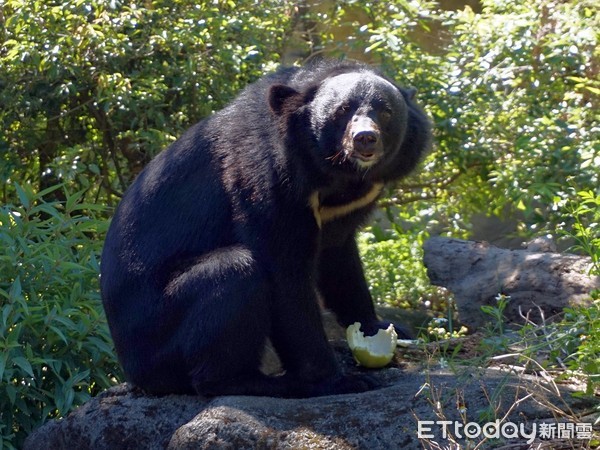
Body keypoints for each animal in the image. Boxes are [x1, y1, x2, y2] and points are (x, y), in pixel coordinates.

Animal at [102, 59, 432, 398]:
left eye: (385, 112)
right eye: (342, 111)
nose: (365, 138)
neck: (336, 175)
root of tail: (133, 371)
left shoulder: (347, 208)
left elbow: (340, 259)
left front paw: (378, 328)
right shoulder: (267, 179)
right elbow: (284, 271)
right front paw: (339, 380)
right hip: (159, 327)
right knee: (231, 275)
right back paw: (264, 382)